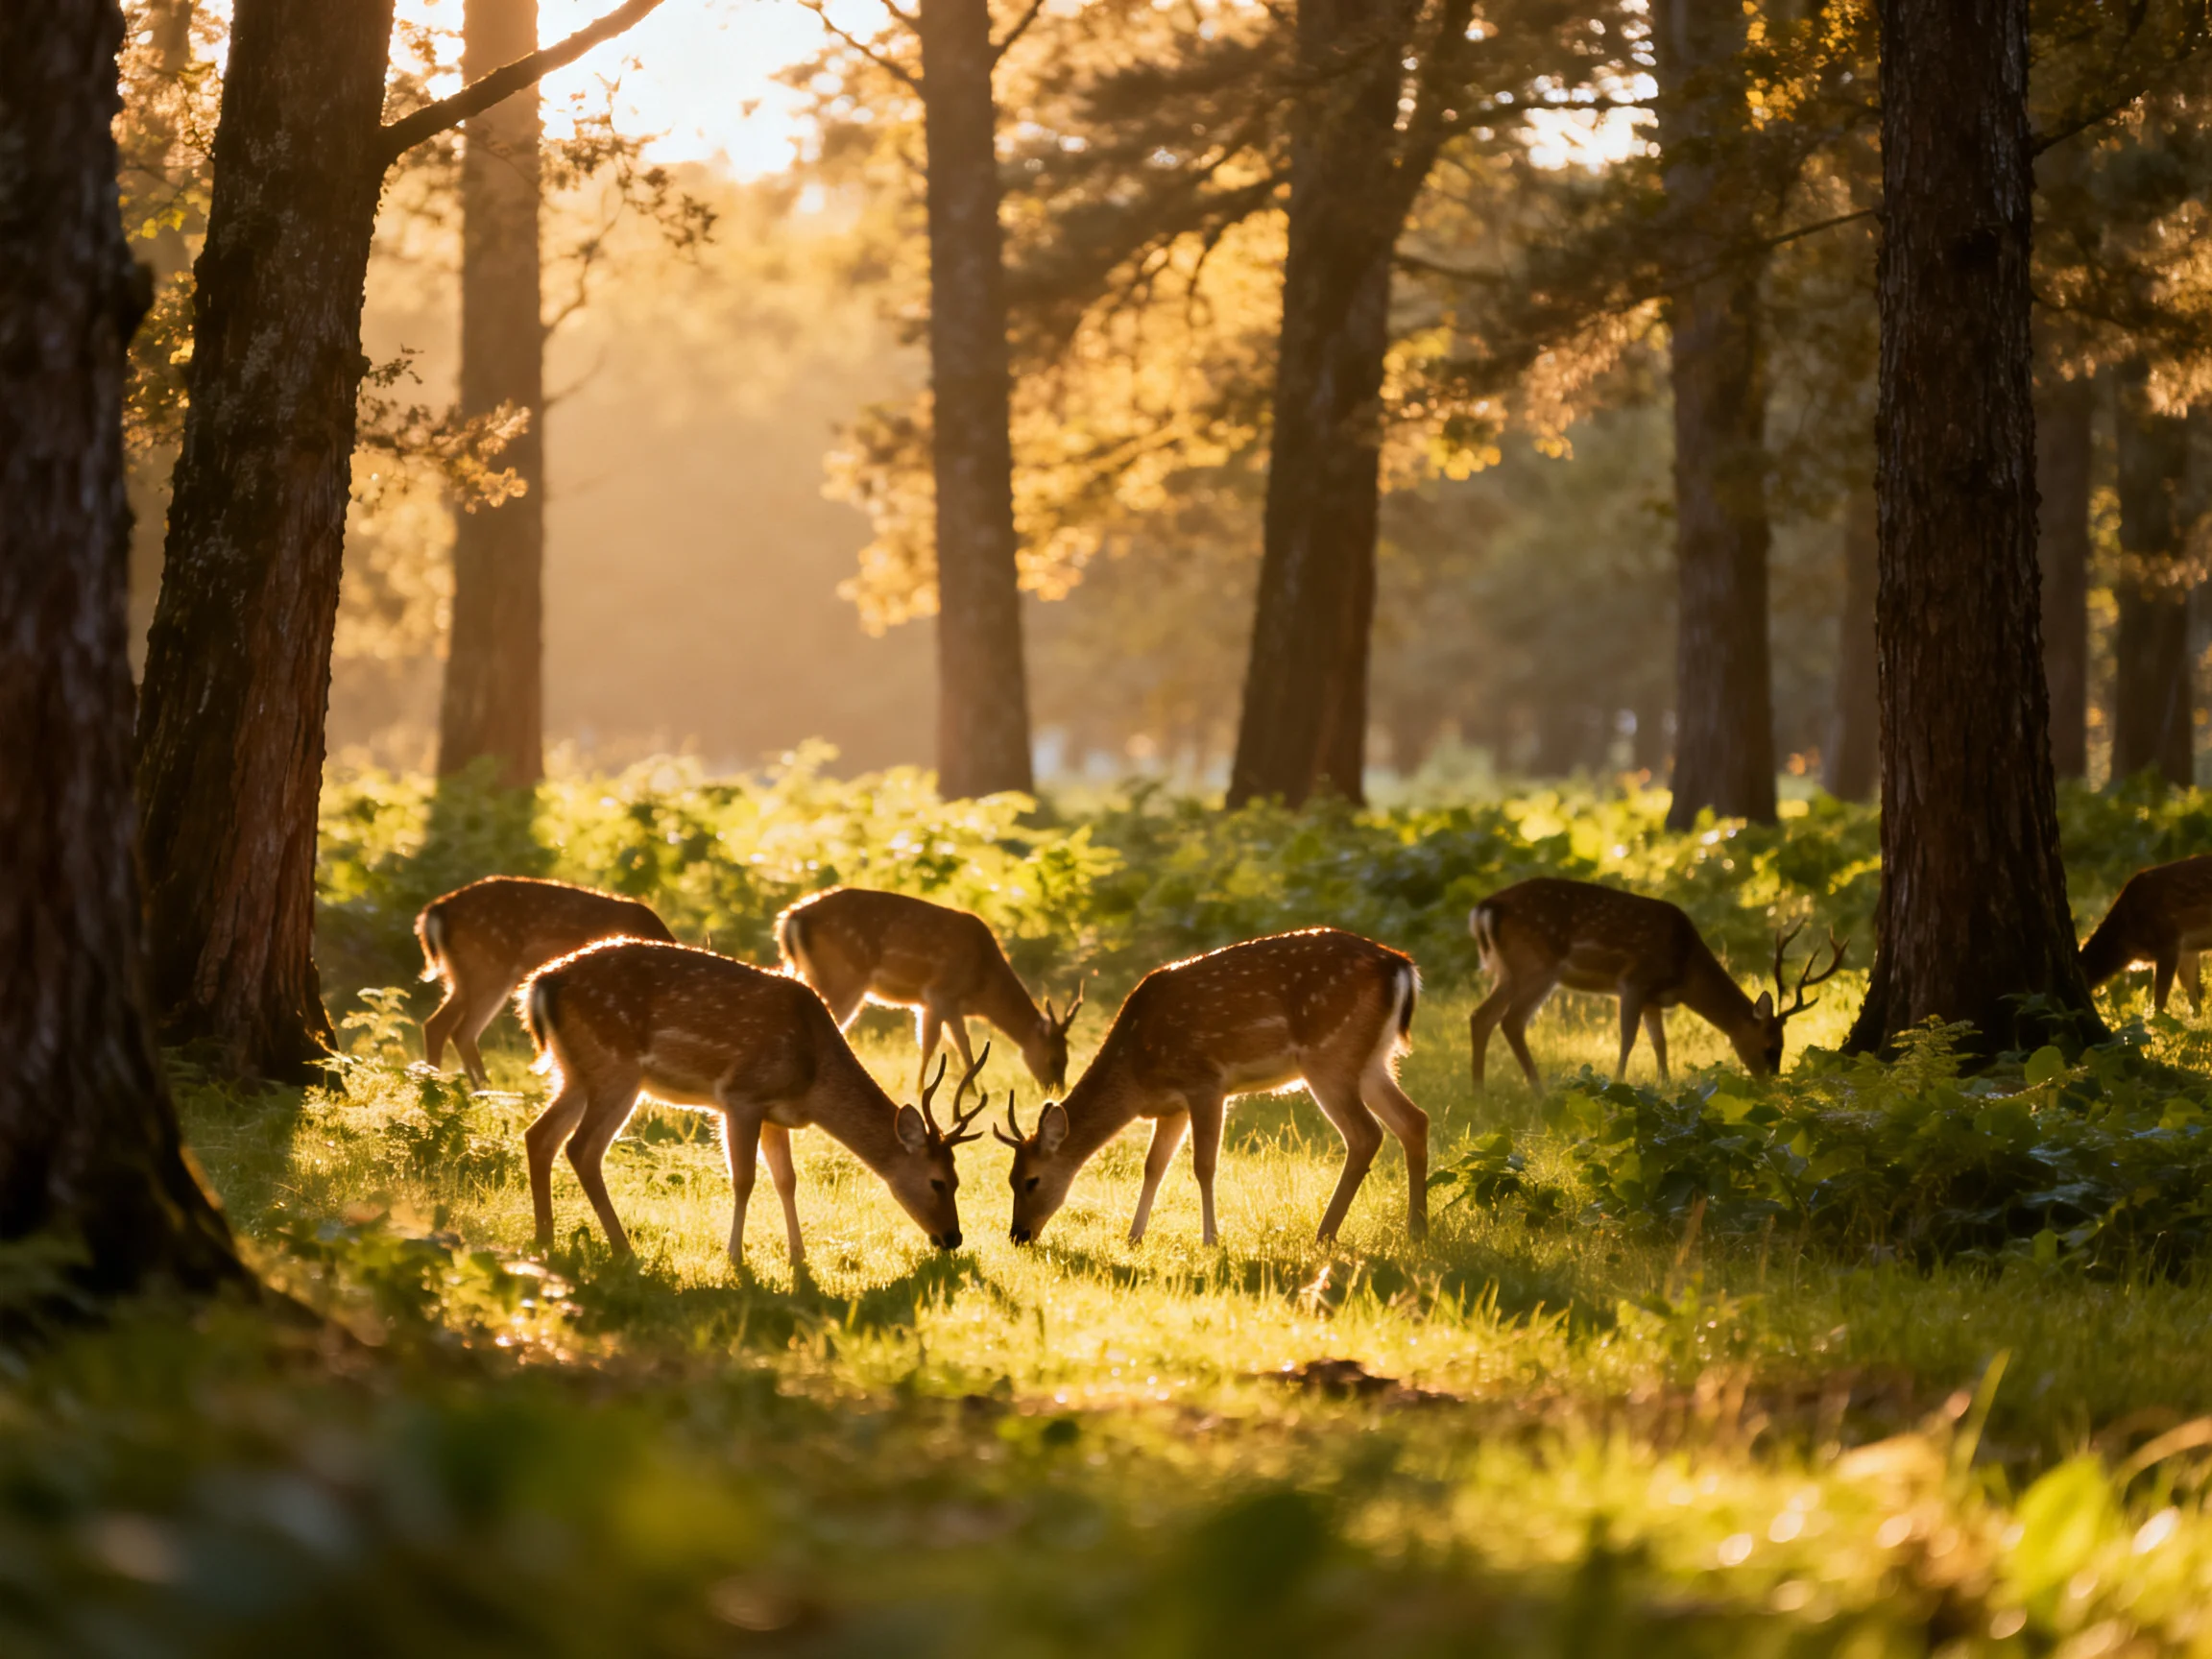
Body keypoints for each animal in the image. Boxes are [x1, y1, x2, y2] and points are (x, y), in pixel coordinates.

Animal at [518, 939, 991, 1269]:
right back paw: (622, 1249)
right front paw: (735, 1256)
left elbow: (787, 1180)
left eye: (958, 1180)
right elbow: (744, 1179)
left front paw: (799, 1256)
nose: (953, 1237)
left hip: (575, 1071)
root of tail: (540, 986)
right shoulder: (740, 1096)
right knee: (581, 1148)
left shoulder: (775, 1113)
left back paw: (545, 1240)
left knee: (539, 1135)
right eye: (938, 1182)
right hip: (616, 1067)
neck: (812, 1078)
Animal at [775, 887, 1083, 1095]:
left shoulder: (932, 1003)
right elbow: (944, 1044)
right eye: (1054, 1060)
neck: (982, 986)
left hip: (805, 970)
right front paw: (935, 1090)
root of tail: (791, 917)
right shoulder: (942, 993)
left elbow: (945, 1044)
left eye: (1068, 1058)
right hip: (844, 976)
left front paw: (959, 1090)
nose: (1056, 1091)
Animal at [994, 929, 1427, 1249]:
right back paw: (1415, 1228)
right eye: (1010, 1179)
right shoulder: (1171, 1106)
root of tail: (1401, 966)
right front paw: (1134, 1237)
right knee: (1414, 1120)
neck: (1136, 1075)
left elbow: (1203, 1166)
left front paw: (1211, 1240)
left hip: (1328, 1056)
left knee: (1366, 1134)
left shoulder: (1205, 1083)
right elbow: (1153, 1166)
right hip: (1371, 1060)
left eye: (1031, 1180)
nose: (1018, 1235)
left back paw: (1325, 1234)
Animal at [1467, 878, 1847, 1090]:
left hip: (1508, 970)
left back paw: (1480, 1094)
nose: (1771, 1082)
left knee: (1481, 1016)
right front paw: (1618, 1083)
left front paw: (1665, 1084)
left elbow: (1660, 1043)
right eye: (1771, 1046)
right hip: (1538, 966)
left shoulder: (1654, 998)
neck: (1685, 969)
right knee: (1510, 1020)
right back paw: (1537, 1091)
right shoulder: (1633, 981)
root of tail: (1485, 907)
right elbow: (1627, 1039)